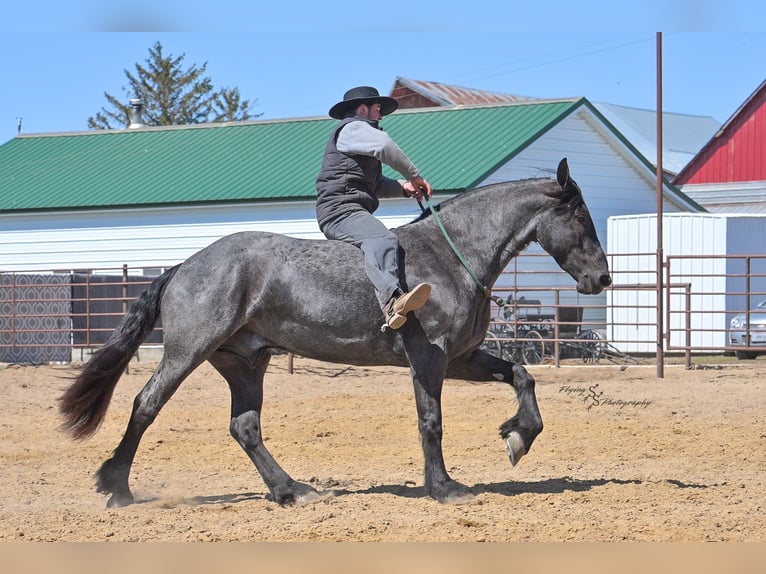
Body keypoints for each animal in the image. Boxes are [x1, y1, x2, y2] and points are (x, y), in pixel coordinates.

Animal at [59, 157, 611, 507]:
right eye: (581, 215)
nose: (602, 279)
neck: (452, 257)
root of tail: (184, 266)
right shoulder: (430, 360)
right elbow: (431, 423)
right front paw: (444, 487)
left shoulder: (461, 359)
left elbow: (522, 375)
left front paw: (518, 437)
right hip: (187, 352)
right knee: (146, 405)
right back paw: (118, 488)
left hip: (244, 363)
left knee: (245, 427)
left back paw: (291, 491)